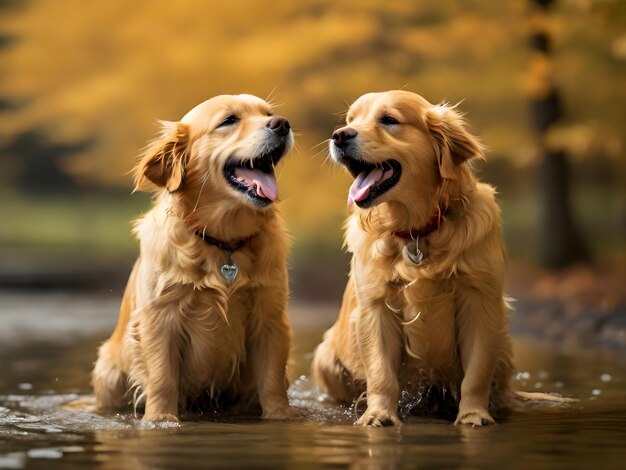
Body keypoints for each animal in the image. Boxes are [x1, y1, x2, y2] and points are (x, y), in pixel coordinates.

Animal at [91, 92, 298, 422]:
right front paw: (161, 419)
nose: (282, 124)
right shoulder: (159, 317)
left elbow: (272, 379)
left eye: (268, 113)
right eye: (229, 120)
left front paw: (280, 414)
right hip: (108, 373)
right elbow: (162, 377)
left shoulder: (270, 314)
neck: (224, 243)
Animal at [312, 88, 572, 426]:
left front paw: (473, 415)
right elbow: (381, 373)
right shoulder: (376, 306)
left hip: (503, 341)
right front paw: (379, 415)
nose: (340, 135)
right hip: (324, 358)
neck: (415, 231)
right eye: (351, 120)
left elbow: (475, 375)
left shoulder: (479, 302)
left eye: (389, 120)